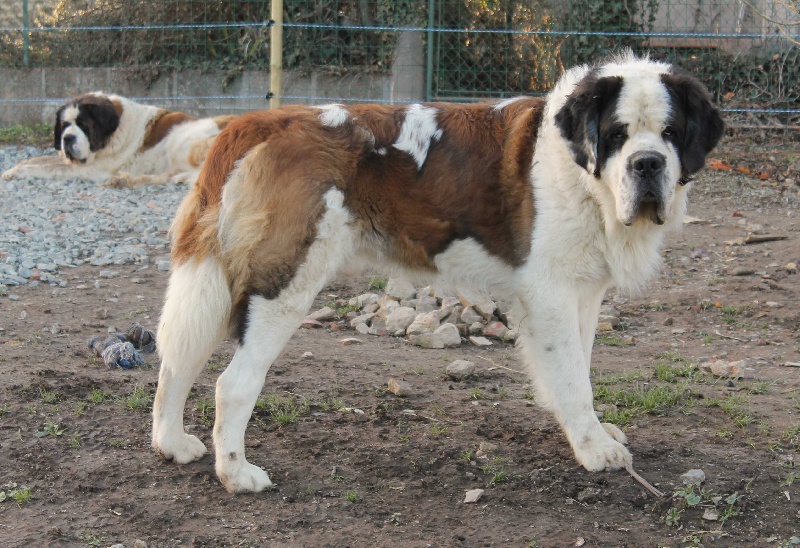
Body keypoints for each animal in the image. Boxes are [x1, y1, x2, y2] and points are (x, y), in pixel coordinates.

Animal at [1, 92, 234, 188]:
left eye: (83, 125)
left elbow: (45, 168)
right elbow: (37, 160)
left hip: (184, 142)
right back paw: (126, 180)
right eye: (65, 125)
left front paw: (19, 172)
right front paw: (11, 170)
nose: (67, 138)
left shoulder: (89, 169)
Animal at [150, 53, 724, 494]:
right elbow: (573, 380)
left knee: (178, 358)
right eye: (616, 135)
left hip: (219, 279)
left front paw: (591, 432)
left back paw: (172, 444)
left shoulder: (583, 293)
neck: (584, 177)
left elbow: (577, 370)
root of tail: (256, 123)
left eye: (670, 134)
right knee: (233, 382)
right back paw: (237, 474)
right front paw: (595, 449)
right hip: (284, 283)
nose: (647, 164)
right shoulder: (551, 295)